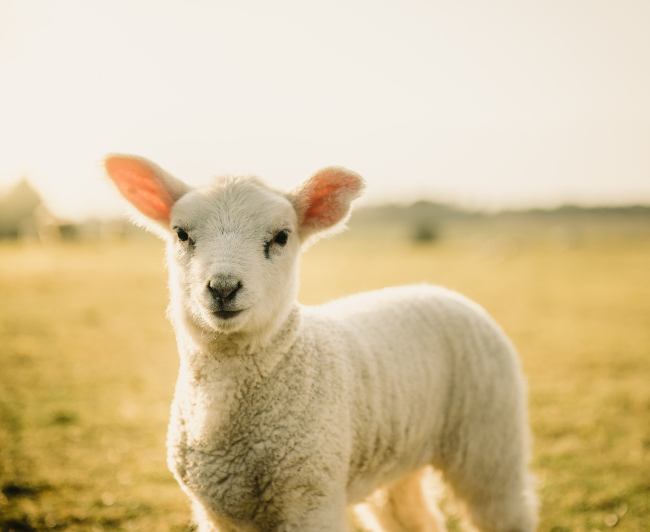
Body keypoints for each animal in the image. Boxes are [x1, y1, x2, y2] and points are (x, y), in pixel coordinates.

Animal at [104, 154, 538, 532]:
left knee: (504, 511)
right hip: (399, 462)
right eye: (181, 234)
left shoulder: (310, 497)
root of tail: (439, 290)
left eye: (281, 236)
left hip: (491, 441)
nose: (223, 288)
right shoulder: (217, 511)